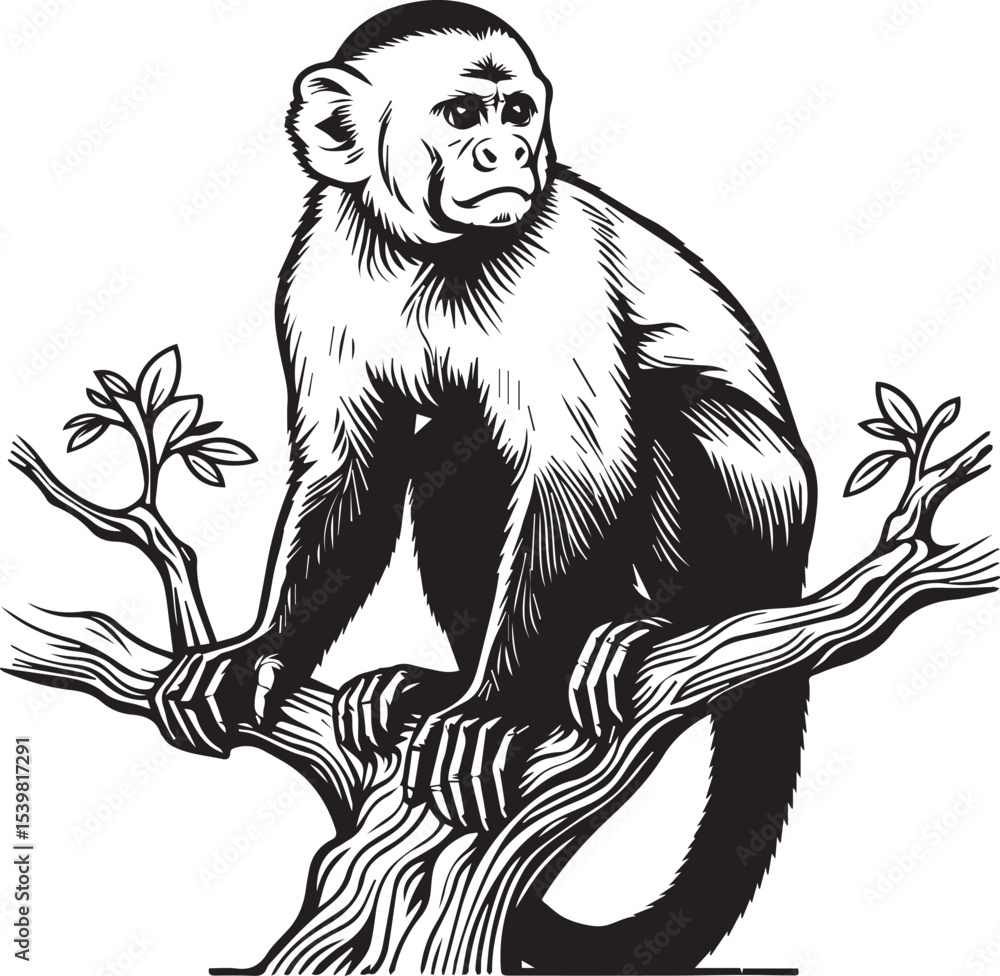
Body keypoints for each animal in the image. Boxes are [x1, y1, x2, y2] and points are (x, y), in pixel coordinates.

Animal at [152, 3, 816, 971]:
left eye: (519, 114)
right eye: (464, 116)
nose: (509, 153)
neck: (419, 252)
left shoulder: (553, 259)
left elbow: (580, 466)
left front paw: (496, 713)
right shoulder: (319, 270)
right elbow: (350, 473)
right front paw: (262, 649)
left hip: (774, 521)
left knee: (674, 411)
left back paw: (661, 622)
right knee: (455, 455)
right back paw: (445, 681)